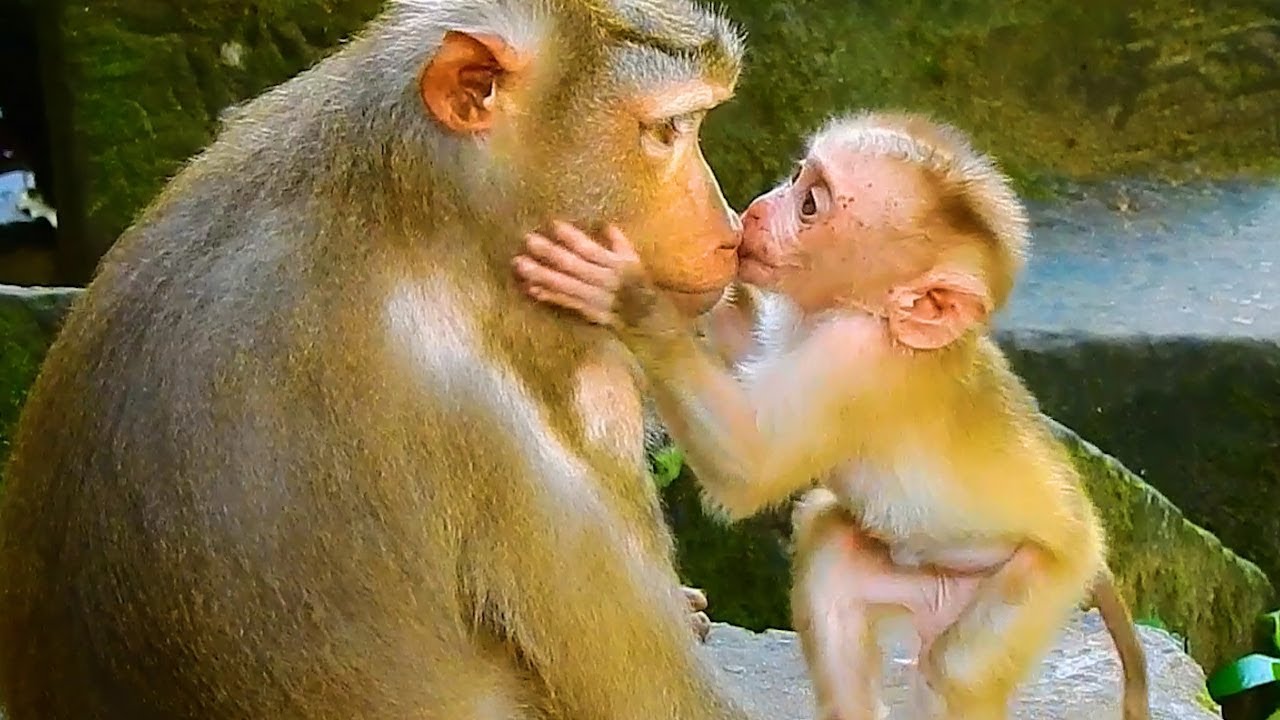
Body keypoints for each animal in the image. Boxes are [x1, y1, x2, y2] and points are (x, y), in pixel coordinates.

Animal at [511, 110, 1150, 720]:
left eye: (810, 205)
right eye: (798, 178)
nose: (755, 211)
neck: (861, 310)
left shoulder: (858, 359)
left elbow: (751, 467)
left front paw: (630, 292)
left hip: (1043, 578)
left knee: (954, 672)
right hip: (931, 580)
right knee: (829, 552)